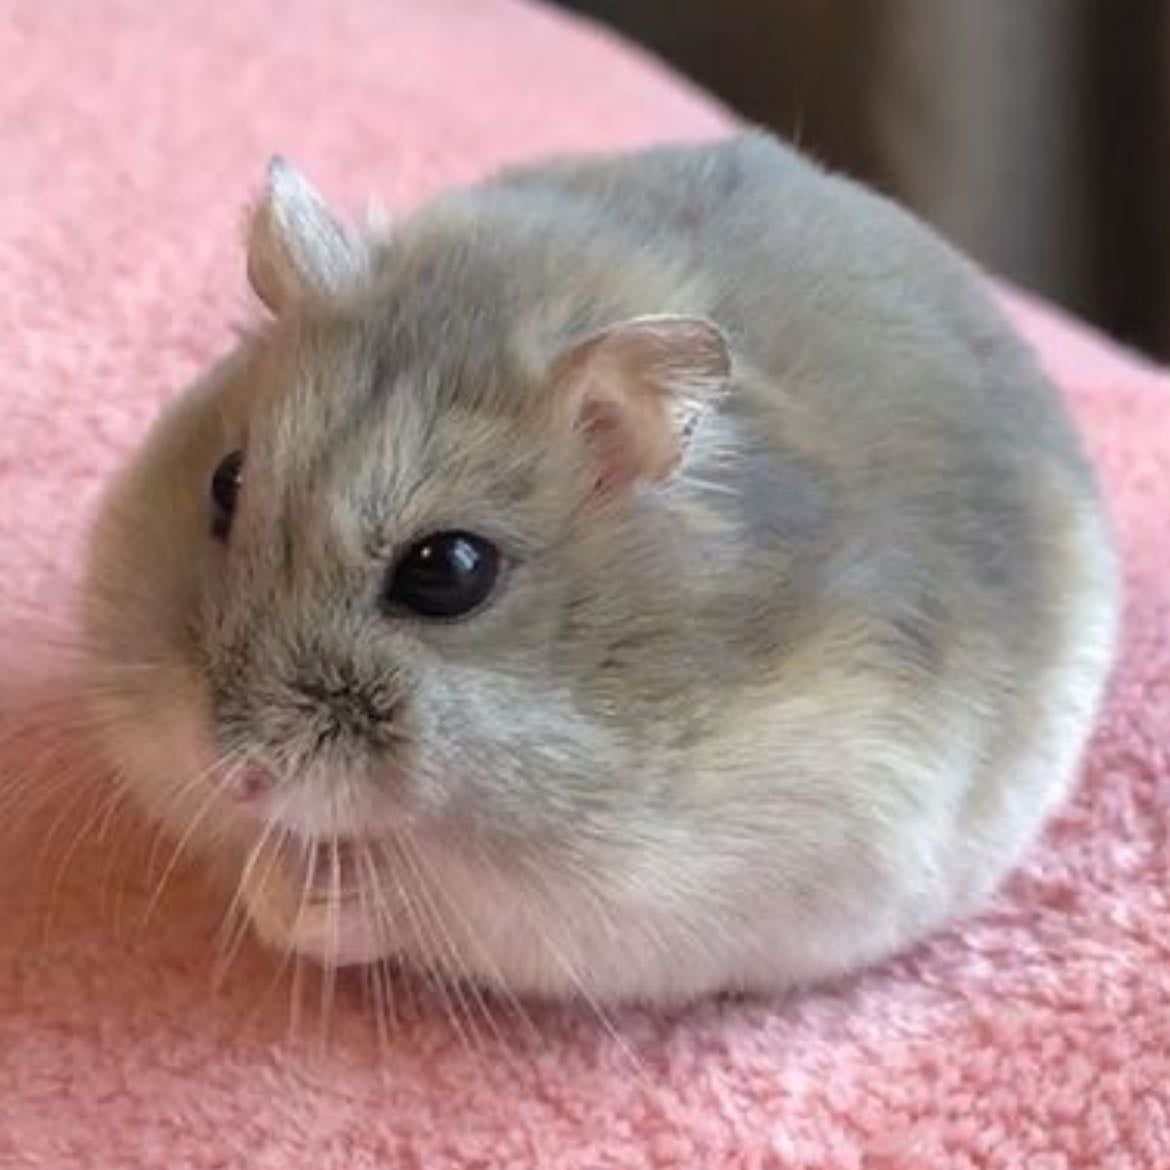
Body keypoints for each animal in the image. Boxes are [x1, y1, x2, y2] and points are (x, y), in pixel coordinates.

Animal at [82, 132, 1119, 1006]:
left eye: (448, 571)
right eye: (225, 482)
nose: (232, 775)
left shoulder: (623, 901)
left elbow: (405, 906)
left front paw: (294, 889)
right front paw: (264, 870)